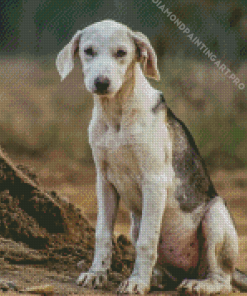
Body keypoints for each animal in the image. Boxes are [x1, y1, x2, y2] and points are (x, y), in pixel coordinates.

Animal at [56, 20, 247, 294]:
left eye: (121, 53)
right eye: (88, 51)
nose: (101, 83)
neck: (117, 112)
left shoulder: (154, 182)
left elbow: (147, 242)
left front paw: (136, 282)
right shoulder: (104, 182)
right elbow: (103, 234)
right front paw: (96, 274)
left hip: (215, 216)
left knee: (223, 280)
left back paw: (199, 284)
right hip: (136, 224)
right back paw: (157, 278)